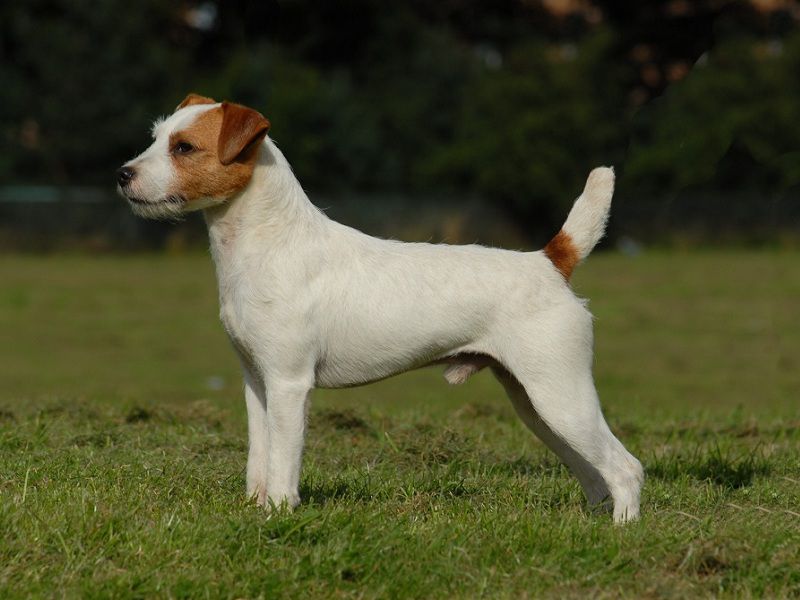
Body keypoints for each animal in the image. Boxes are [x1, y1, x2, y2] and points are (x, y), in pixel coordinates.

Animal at [117, 92, 644, 520]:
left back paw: (623, 532)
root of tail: (549, 261)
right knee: (593, 472)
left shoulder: (289, 384)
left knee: (625, 468)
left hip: (559, 394)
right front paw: (256, 508)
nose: (122, 174)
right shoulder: (256, 382)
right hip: (535, 404)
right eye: (156, 137)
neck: (268, 243)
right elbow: (259, 457)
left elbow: (284, 460)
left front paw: (280, 514)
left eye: (184, 147)